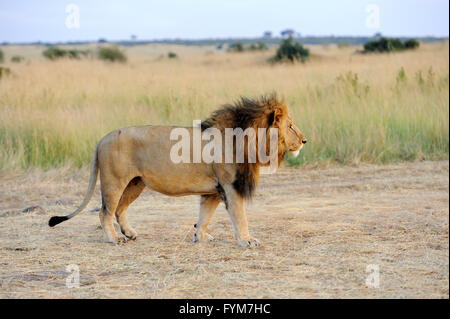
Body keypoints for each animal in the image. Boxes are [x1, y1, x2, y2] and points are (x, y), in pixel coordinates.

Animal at [50, 95, 310, 248]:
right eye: (290, 126)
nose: (305, 140)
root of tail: (102, 139)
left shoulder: (213, 191)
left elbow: (204, 216)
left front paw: (200, 237)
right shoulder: (231, 186)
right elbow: (240, 216)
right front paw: (247, 241)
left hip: (136, 183)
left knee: (119, 209)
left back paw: (130, 233)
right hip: (114, 182)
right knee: (105, 212)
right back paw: (114, 238)